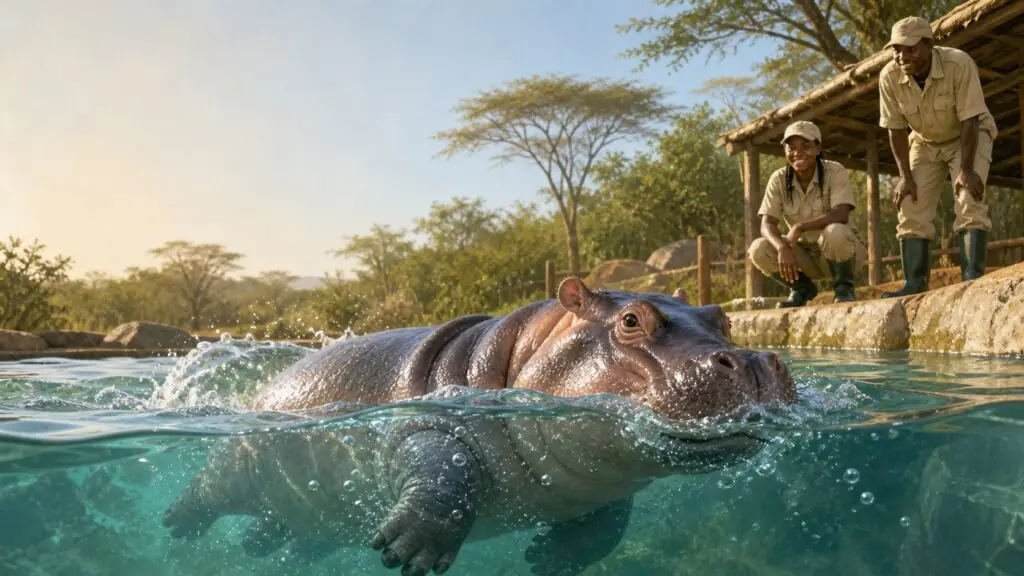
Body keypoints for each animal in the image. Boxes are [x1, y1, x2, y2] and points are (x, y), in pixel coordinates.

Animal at [162, 277, 795, 575]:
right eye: (631, 319)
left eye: (721, 317)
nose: (754, 362)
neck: (517, 351)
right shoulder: (424, 427)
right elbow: (445, 479)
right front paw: (409, 554)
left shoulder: (605, 485)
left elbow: (606, 530)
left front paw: (547, 560)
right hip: (236, 463)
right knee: (205, 491)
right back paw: (177, 526)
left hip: (304, 513)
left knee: (281, 531)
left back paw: (261, 542)